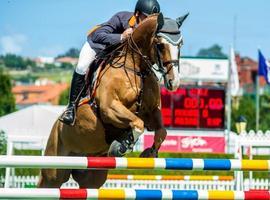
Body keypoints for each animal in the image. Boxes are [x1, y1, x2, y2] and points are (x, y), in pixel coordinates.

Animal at [38, 12, 188, 189]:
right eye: (160, 45)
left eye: (180, 44)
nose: (174, 82)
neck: (136, 68)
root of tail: (56, 127)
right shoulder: (109, 108)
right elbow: (138, 123)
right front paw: (120, 146)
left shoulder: (152, 111)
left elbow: (161, 131)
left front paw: (148, 153)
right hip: (54, 172)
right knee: (48, 182)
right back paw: (69, 116)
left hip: (92, 176)